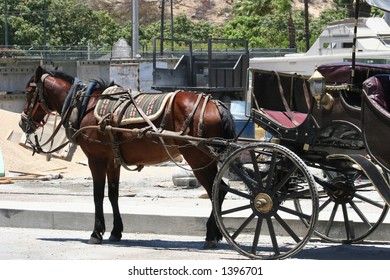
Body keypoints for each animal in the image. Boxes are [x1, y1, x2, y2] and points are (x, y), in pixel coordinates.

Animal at [18, 66, 236, 248]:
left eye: (28, 92)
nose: (22, 122)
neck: (86, 105)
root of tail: (216, 104)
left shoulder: (96, 159)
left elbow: (98, 195)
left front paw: (96, 232)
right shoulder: (112, 161)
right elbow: (113, 194)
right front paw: (116, 231)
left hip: (197, 158)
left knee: (217, 191)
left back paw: (211, 234)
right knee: (219, 190)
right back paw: (215, 233)